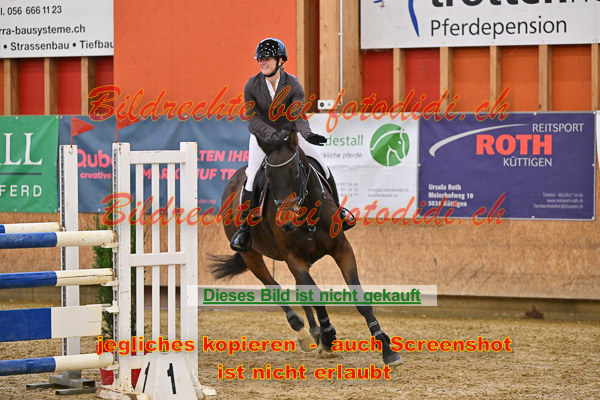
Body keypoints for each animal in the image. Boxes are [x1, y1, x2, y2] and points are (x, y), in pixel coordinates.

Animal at [209, 130, 402, 367]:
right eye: (268, 177)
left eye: (295, 172)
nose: (286, 223)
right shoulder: (293, 258)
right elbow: (316, 296)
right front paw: (328, 337)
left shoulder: (342, 250)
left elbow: (359, 298)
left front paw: (386, 348)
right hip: (251, 255)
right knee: (273, 286)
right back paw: (303, 331)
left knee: (301, 291)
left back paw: (314, 332)